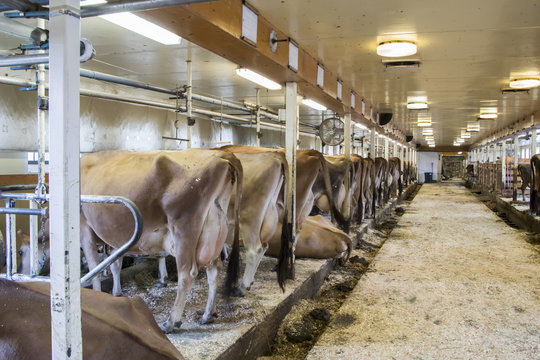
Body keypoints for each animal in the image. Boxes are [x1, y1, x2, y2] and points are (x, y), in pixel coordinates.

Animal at [78, 148, 243, 332]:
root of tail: (221, 155)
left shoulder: (84, 228)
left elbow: (95, 269)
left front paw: (97, 297)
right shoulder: (116, 239)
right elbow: (115, 265)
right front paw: (116, 292)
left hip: (183, 230)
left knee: (187, 273)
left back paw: (171, 322)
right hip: (213, 231)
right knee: (214, 269)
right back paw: (208, 314)